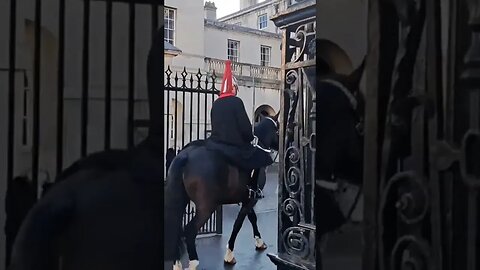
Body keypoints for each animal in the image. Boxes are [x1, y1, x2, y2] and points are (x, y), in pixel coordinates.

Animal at [163, 113, 280, 268]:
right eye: (278, 129)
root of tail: (186, 156)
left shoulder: (247, 198)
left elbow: (252, 218)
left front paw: (259, 242)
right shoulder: (251, 199)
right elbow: (238, 224)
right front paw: (229, 254)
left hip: (182, 200)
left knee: (175, 229)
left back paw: (177, 264)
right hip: (207, 206)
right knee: (189, 231)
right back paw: (193, 263)